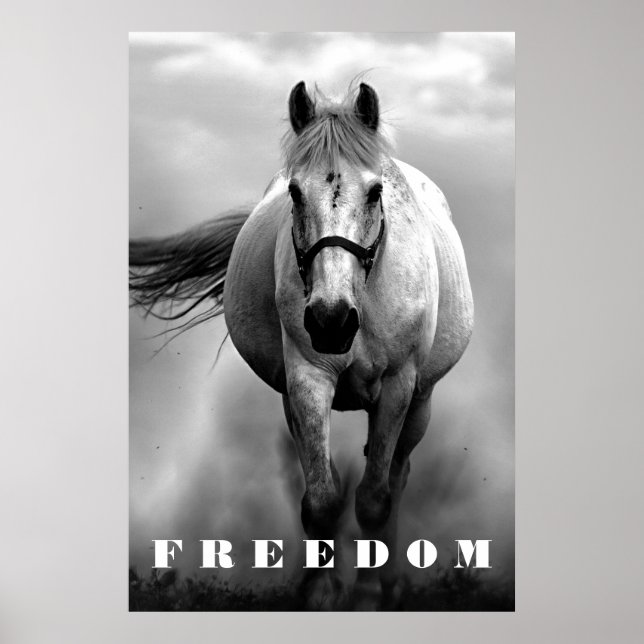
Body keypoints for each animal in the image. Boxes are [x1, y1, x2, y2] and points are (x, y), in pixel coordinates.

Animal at [129, 81, 474, 610]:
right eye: (294, 192)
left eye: (375, 191)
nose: (331, 320)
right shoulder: (307, 380)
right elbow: (321, 500)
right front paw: (319, 594)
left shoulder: (398, 387)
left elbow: (374, 500)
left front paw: (369, 594)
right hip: (293, 401)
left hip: (420, 403)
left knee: (396, 477)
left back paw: (392, 582)